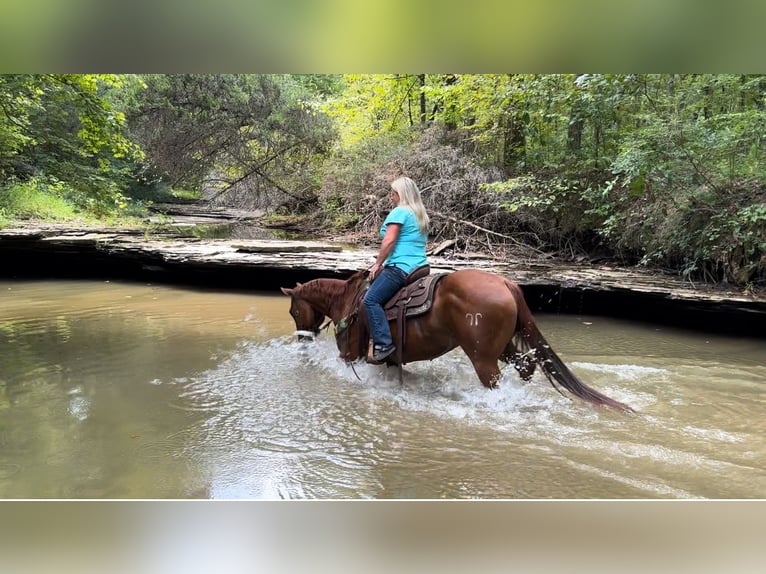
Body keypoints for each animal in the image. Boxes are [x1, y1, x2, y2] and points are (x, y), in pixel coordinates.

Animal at [282, 270, 636, 414]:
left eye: (292, 310)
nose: (302, 341)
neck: (347, 303)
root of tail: (505, 283)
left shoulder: (350, 356)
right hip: (505, 349)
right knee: (527, 365)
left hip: (483, 358)